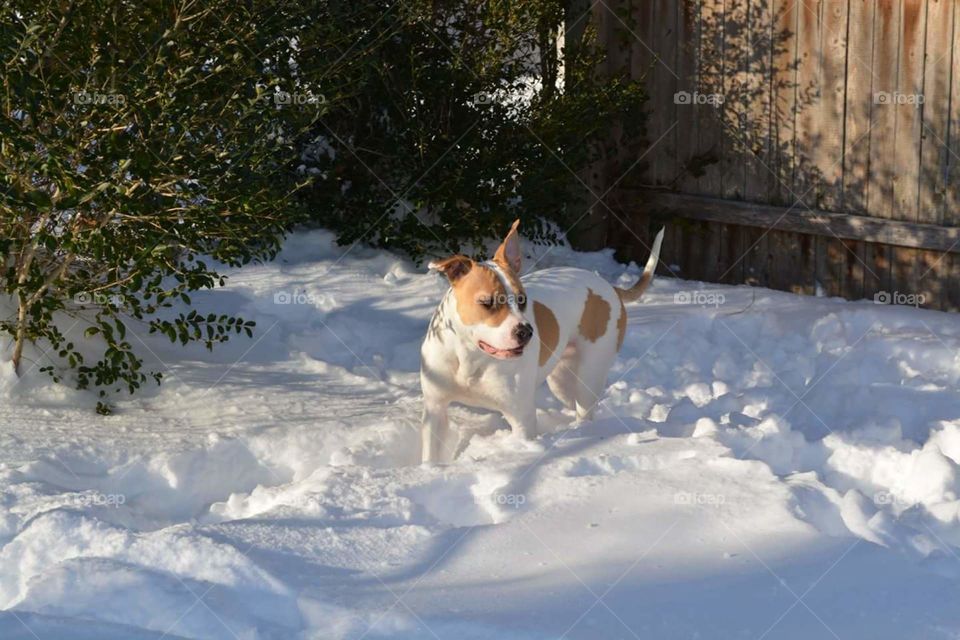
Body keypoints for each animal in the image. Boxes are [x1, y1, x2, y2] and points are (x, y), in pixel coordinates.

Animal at [420, 220, 668, 460]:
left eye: (522, 299)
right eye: (487, 302)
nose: (526, 332)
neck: (470, 357)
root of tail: (610, 287)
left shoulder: (521, 418)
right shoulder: (435, 410)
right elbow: (430, 456)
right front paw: (431, 471)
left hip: (590, 374)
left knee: (586, 409)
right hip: (562, 381)